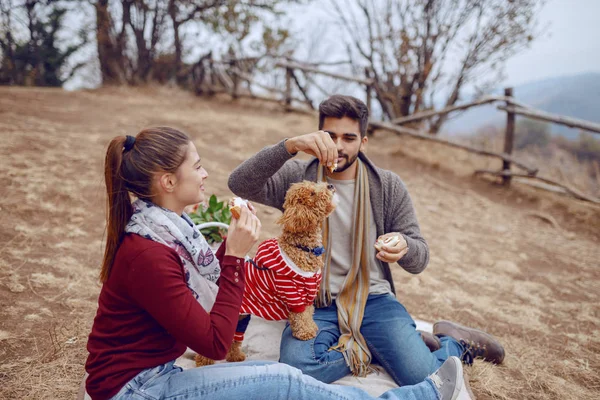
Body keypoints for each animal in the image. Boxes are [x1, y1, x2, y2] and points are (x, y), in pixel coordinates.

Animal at [197, 181, 338, 366]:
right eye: (312, 193)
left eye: (315, 185)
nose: (330, 185)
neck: (302, 248)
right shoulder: (293, 294)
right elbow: (300, 317)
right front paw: (306, 333)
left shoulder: (307, 295)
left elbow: (308, 314)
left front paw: (312, 327)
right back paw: (203, 362)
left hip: (240, 317)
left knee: (234, 337)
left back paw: (235, 356)